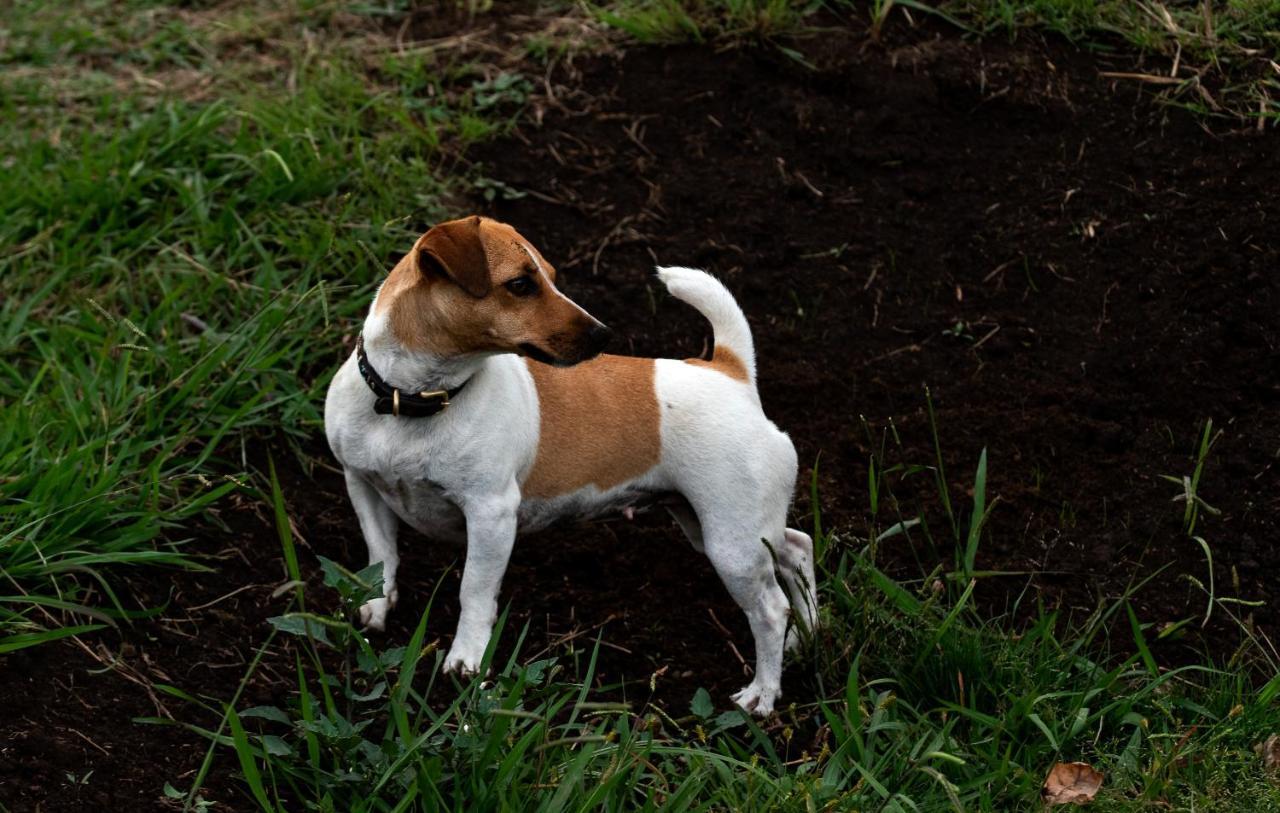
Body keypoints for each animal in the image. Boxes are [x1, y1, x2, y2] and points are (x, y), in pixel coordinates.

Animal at [325, 216, 814, 711]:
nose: (603, 333)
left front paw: (466, 662)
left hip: (731, 540)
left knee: (770, 609)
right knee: (796, 548)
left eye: (552, 277)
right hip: (715, 525)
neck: (414, 400)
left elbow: (474, 591)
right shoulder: (361, 484)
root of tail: (731, 373)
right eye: (521, 285)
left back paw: (762, 694)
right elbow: (381, 556)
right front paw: (376, 607)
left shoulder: (491, 515)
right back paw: (805, 636)